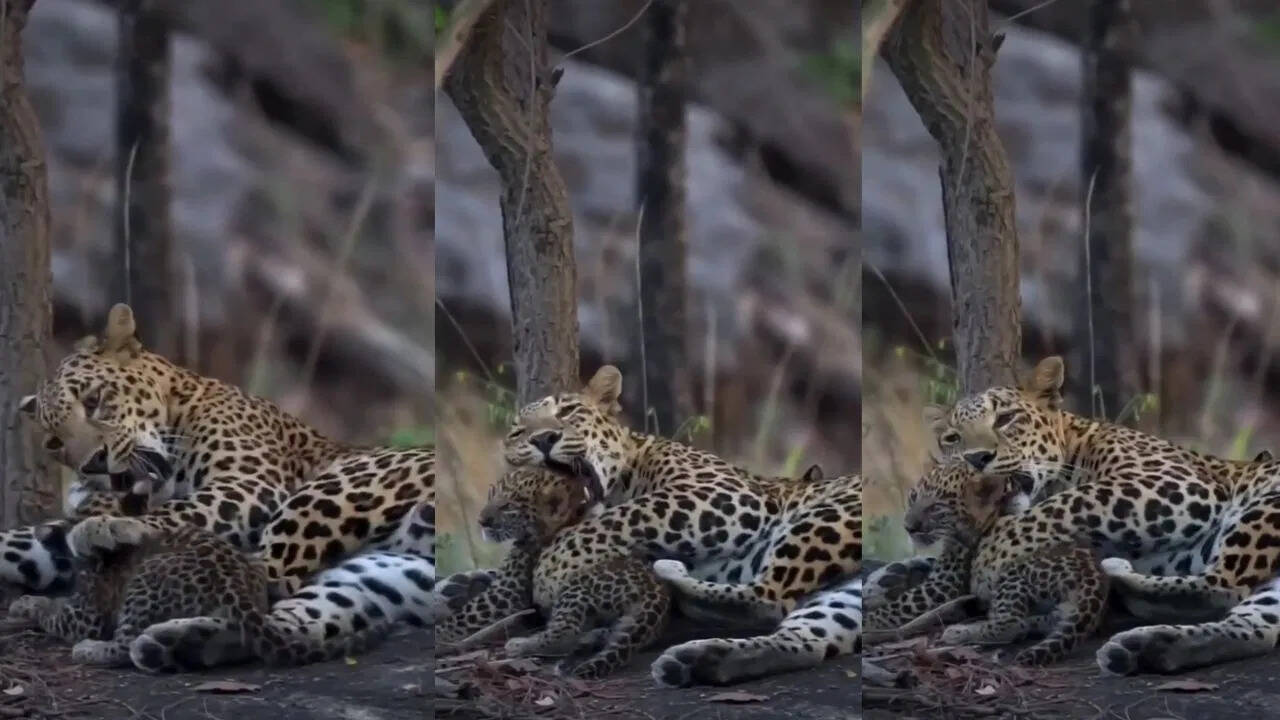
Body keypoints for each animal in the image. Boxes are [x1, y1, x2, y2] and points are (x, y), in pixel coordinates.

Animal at [500, 365, 862, 680]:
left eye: (568, 411)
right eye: (518, 432)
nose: (543, 439)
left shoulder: (726, 493)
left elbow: (626, 514)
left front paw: (550, 570)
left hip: (827, 515)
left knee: (769, 597)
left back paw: (671, 578)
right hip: (838, 594)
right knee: (803, 637)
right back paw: (697, 658)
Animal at [867, 461, 1110, 666]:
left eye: (936, 507)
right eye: (913, 496)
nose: (909, 527)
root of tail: (1095, 575)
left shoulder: (944, 584)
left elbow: (898, 605)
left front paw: (870, 619)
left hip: (1014, 571)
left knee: (1010, 625)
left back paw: (958, 632)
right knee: (1038, 623)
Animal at [921, 355, 1280, 675]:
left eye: (1005, 418)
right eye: (952, 438)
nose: (975, 458)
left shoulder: (1177, 484)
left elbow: (1066, 503)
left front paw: (990, 558)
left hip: (1265, 506)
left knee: (1223, 585)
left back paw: (1118, 578)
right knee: (1255, 627)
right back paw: (1147, 647)